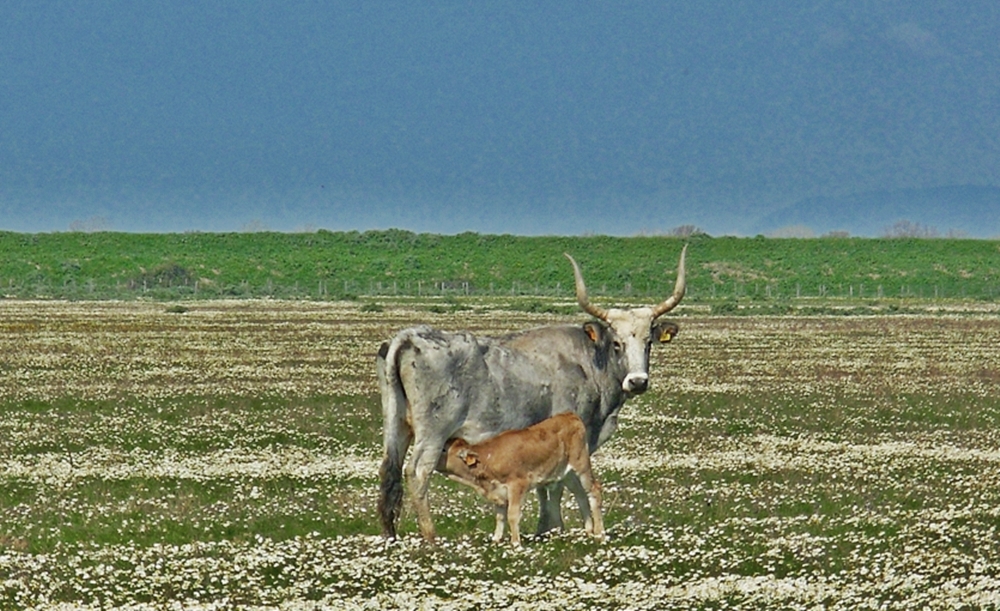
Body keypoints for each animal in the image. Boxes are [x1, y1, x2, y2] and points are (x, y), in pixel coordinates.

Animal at [436, 412, 600, 548]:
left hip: (581, 464)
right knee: (581, 494)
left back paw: (600, 534)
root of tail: (570, 415)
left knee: (594, 490)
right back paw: (589, 530)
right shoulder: (498, 492)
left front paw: (515, 544)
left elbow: (512, 515)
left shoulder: (517, 485)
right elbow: (500, 517)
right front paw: (496, 540)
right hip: (567, 473)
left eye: (444, 449)